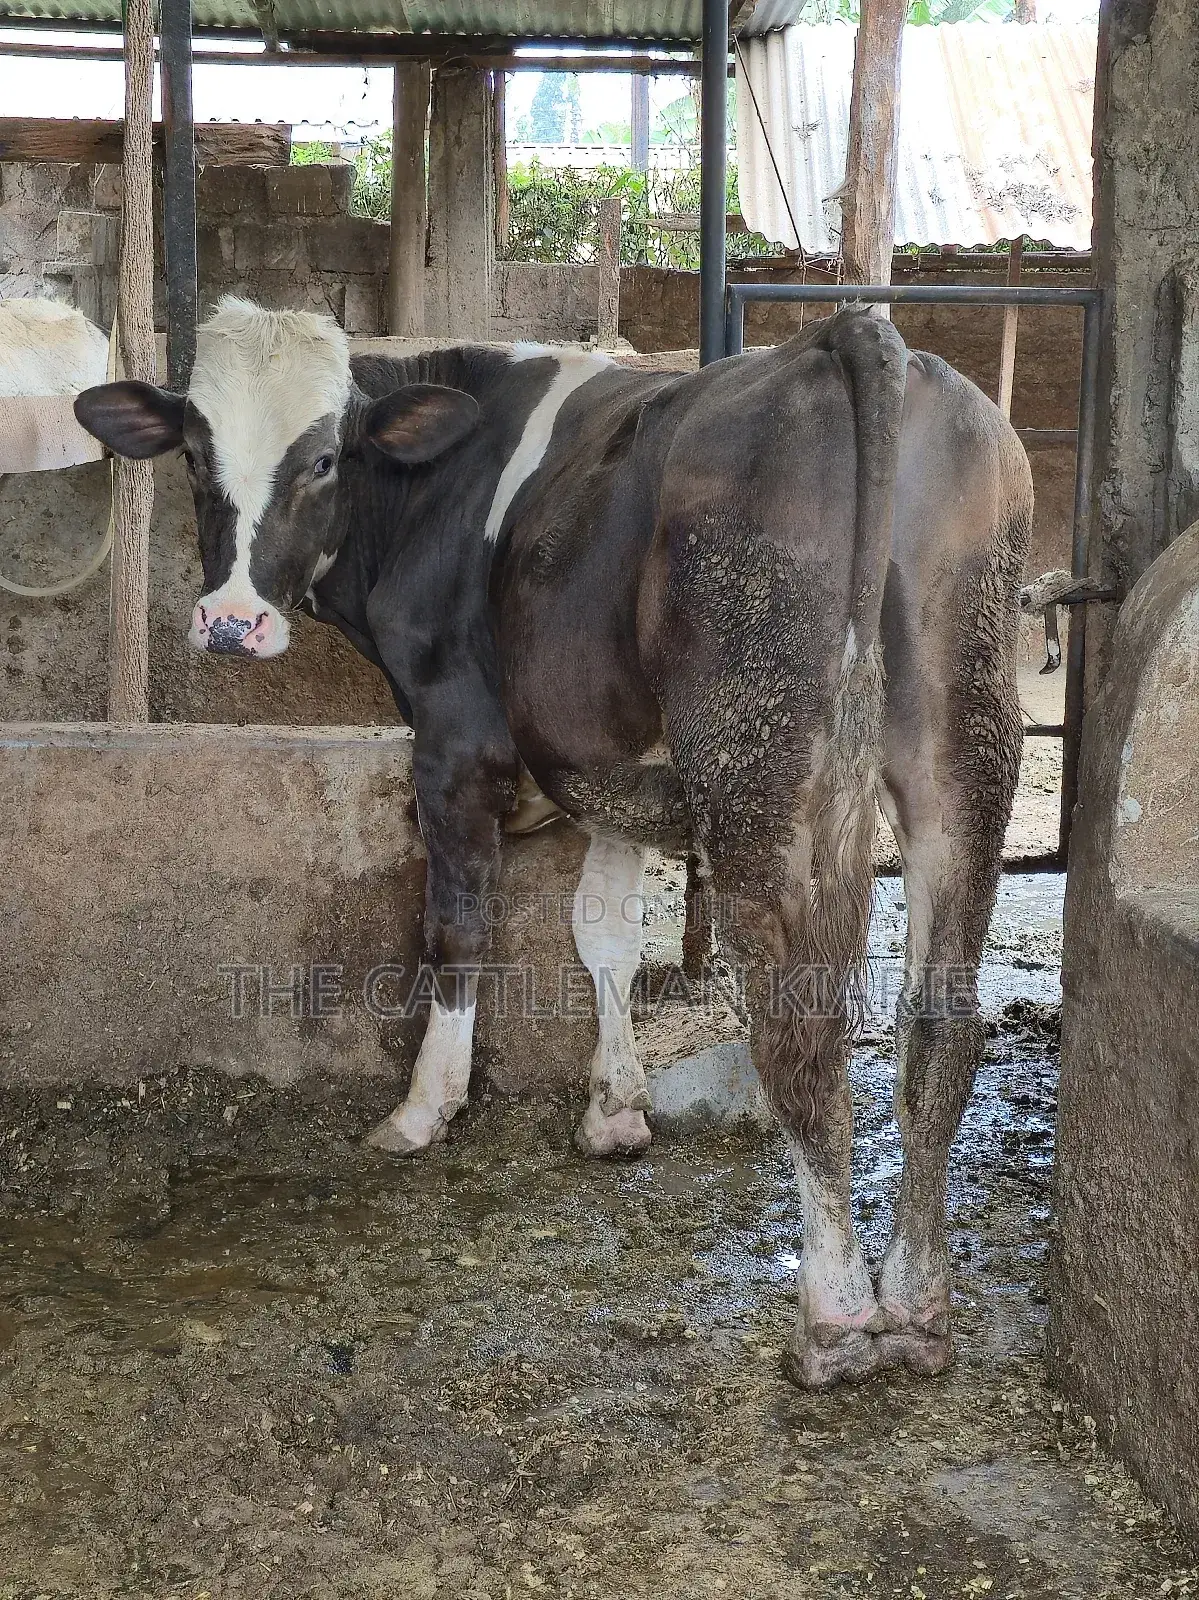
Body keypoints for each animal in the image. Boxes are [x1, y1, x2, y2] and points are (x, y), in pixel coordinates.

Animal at [75, 296, 1033, 1390]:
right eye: (194, 453)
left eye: (322, 458)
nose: (231, 623)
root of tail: (854, 336)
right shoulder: (606, 764)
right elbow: (600, 930)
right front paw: (614, 1109)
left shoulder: (453, 739)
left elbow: (458, 928)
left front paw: (423, 1110)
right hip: (965, 741)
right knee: (940, 1024)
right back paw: (916, 1307)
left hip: (761, 757)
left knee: (803, 1032)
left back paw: (835, 1316)